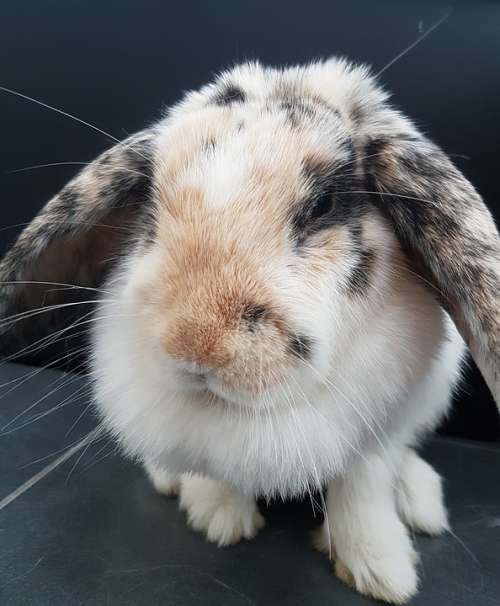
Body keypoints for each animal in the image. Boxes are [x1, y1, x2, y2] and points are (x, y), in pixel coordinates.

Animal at [0, 59, 498, 604]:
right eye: (150, 201)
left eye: (323, 205)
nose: (195, 345)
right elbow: (218, 474)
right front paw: (218, 518)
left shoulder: (383, 420)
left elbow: (363, 484)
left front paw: (380, 568)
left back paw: (421, 504)